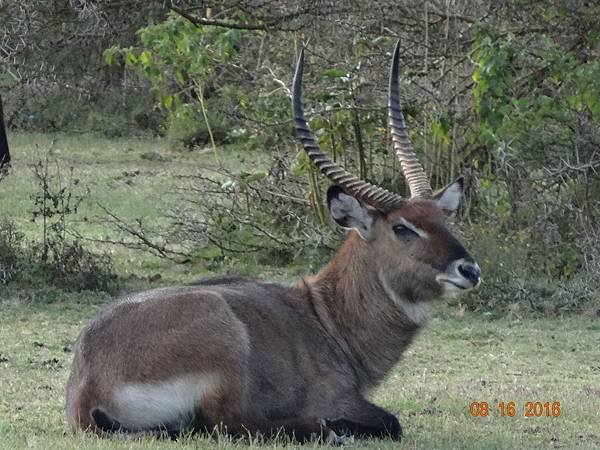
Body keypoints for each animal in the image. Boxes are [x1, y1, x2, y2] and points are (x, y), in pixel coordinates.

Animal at [67, 42, 478, 442]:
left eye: (442, 218)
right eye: (402, 227)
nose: (469, 269)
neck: (326, 317)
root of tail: (87, 387)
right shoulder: (339, 399)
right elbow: (392, 422)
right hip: (223, 336)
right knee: (229, 424)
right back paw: (329, 432)